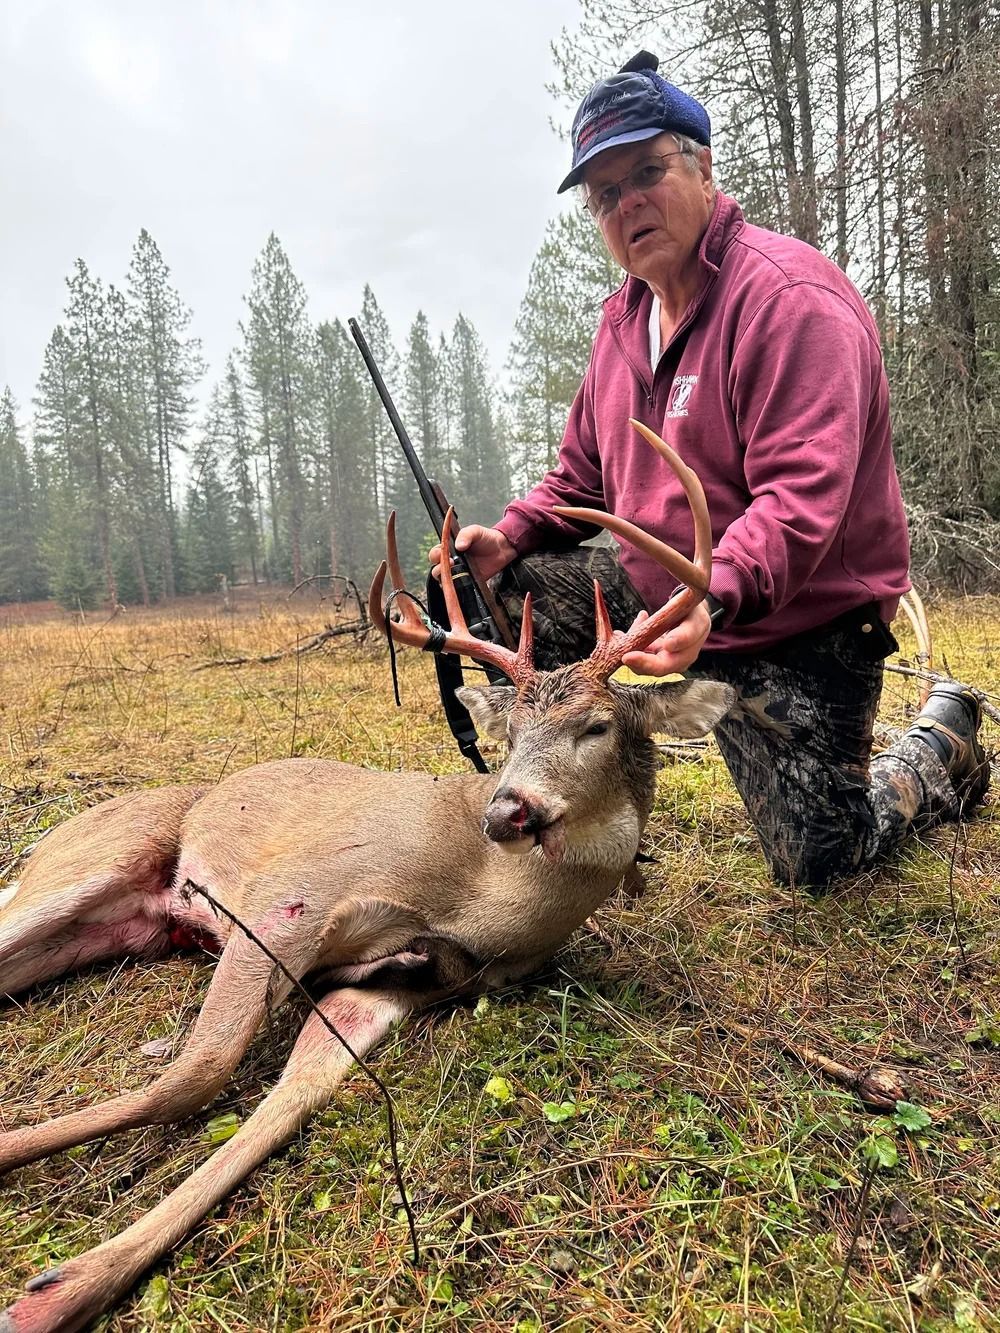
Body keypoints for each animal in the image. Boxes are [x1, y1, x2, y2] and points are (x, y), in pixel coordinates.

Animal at [0, 420, 735, 1333]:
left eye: (596, 724)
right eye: (510, 732)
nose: (508, 809)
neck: (481, 902)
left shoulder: (387, 985)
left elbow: (289, 1100)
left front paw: (60, 1288)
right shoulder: (293, 896)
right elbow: (194, 1072)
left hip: (119, 919)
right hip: (86, 864)